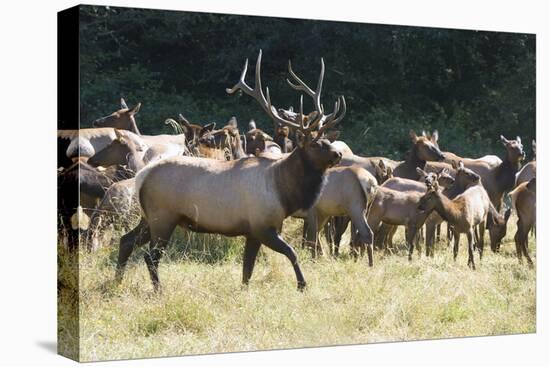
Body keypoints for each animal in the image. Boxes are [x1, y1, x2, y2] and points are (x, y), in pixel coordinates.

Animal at [116, 50, 348, 292]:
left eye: (326, 139)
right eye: (314, 144)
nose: (338, 154)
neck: (285, 193)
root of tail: (142, 177)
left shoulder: (253, 232)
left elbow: (248, 269)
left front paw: (245, 291)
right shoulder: (262, 225)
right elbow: (291, 253)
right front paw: (302, 285)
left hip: (149, 217)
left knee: (126, 241)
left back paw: (117, 282)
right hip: (163, 217)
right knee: (150, 256)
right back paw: (158, 290)